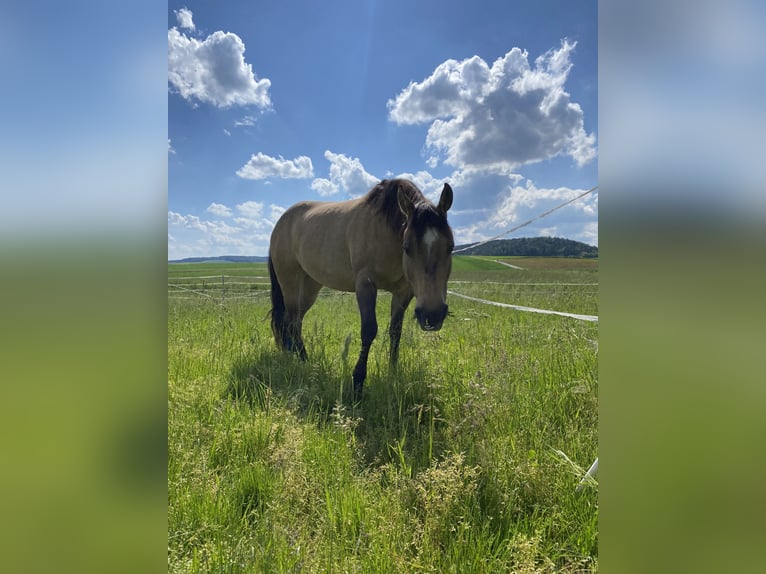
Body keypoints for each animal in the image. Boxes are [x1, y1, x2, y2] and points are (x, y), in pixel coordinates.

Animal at [267, 178, 454, 400]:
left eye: (451, 247)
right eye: (407, 247)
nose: (432, 315)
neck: (385, 230)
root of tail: (282, 220)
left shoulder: (403, 292)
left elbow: (395, 331)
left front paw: (392, 373)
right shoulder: (365, 284)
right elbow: (369, 330)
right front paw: (357, 383)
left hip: (309, 287)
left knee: (293, 321)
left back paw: (296, 357)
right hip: (290, 282)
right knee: (291, 322)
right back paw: (304, 361)